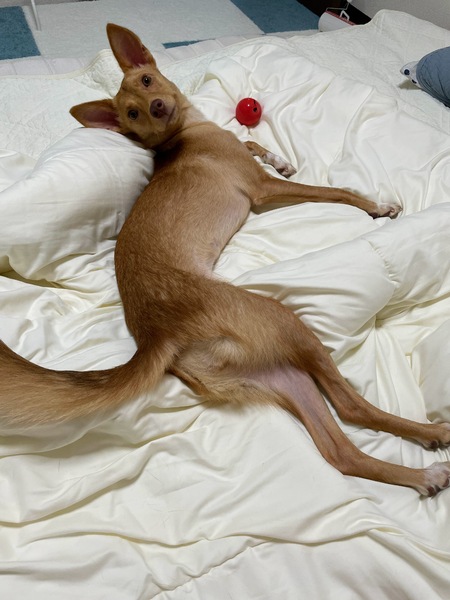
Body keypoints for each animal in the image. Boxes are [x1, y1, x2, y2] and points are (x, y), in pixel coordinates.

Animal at [1, 23, 449, 497]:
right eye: (133, 114)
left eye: (146, 82)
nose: (157, 107)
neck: (187, 132)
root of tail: (157, 336)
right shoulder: (263, 190)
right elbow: (336, 191)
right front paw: (374, 205)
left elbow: (251, 139)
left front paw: (277, 155)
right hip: (280, 322)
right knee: (350, 407)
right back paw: (434, 440)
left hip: (273, 371)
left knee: (339, 452)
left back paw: (422, 471)